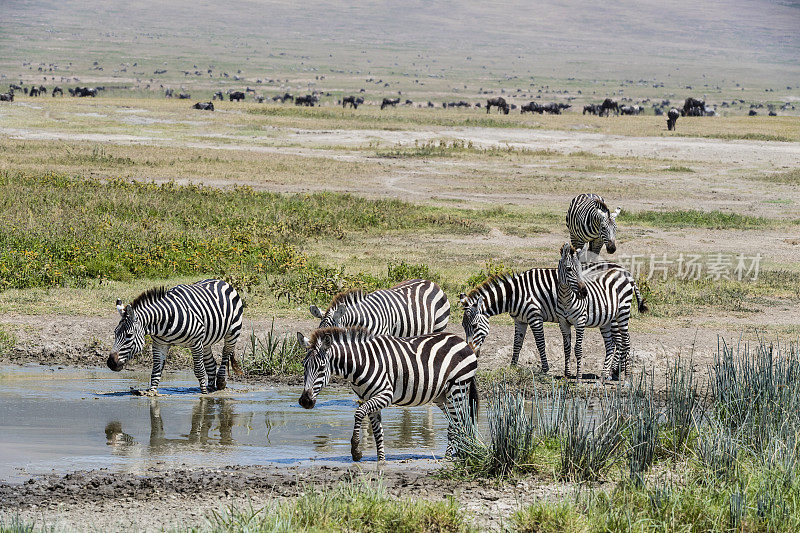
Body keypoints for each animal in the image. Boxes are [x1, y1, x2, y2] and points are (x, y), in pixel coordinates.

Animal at [107, 280, 244, 392]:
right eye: (115, 333)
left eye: (129, 335)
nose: (110, 363)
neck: (165, 320)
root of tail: (221, 281)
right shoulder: (160, 344)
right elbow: (156, 371)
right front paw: (152, 393)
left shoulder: (195, 343)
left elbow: (199, 371)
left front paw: (203, 396)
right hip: (206, 341)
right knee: (210, 364)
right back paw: (211, 388)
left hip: (233, 331)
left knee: (226, 352)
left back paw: (220, 382)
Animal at [298, 326, 476, 460]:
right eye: (303, 365)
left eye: (321, 368)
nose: (305, 401)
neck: (360, 364)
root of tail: (461, 341)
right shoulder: (368, 398)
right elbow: (377, 432)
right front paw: (381, 461)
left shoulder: (385, 395)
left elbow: (358, 413)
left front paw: (356, 451)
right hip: (442, 396)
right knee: (458, 421)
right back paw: (460, 453)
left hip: (457, 388)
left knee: (457, 422)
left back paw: (449, 458)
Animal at [460, 260, 636, 370]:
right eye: (463, 326)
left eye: (474, 326)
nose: (470, 353)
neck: (514, 294)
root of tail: (624, 270)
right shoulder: (520, 320)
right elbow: (517, 343)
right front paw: (513, 366)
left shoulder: (534, 316)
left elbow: (540, 343)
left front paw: (545, 368)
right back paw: (617, 370)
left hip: (615, 315)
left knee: (620, 340)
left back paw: (615, 371)